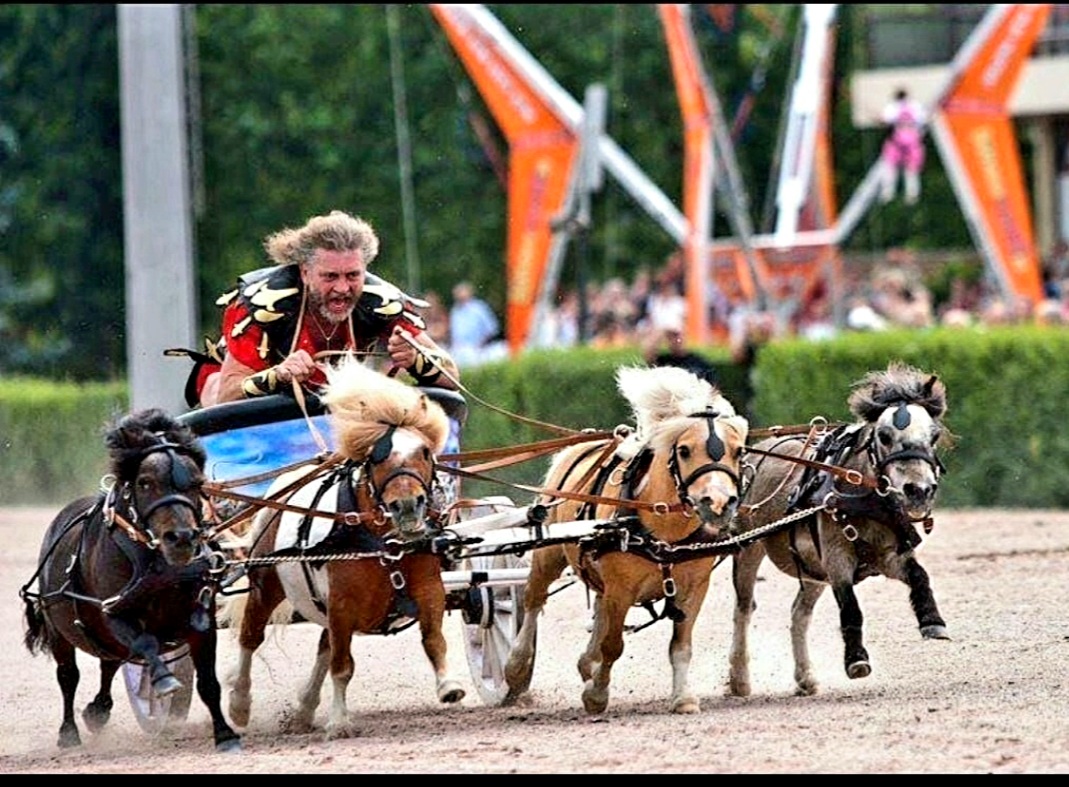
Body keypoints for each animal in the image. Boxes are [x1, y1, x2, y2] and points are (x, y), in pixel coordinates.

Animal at [20, 408, 242, 752]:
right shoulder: (114, 611)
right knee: (68, 675)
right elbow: (146, 642)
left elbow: (208, 682)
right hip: (59, 629)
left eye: (197, 482)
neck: (158, 566)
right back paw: (69, 732)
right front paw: (163, 680)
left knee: (109, 661)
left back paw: (97, 710)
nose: (182, 538)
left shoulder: (202, 617)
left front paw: (225, 733)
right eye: (145, 482)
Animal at [224, 357, 465, 739]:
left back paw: (304, 707)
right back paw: (240, 703)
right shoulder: (341, 602)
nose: (407, 505)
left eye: (425, 452)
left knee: (324, 645)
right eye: (376, 457)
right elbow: (342, 666)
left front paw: (449, 685)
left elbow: (433, 639)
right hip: (267, 585)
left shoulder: (428, 588)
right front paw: (339, 721)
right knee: (251, 637)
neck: (386, 544)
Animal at [504, 365, 750, 714]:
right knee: (534, 599)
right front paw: (597, 694)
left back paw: (586, 663)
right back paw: (516, 665)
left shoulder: (694, 588)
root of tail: (580, 446)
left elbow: (681, 646)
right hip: (548, 555)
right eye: (684, 450)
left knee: (597, 606)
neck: (664, 528)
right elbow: (613, 645)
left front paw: (683, 697)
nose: (718, 503)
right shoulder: (621, 589)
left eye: (739, 450)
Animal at [727, 360, 952, 698]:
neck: (862, 494)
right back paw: (740, 678)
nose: (919, 490)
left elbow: (919, 576)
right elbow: (851, 608)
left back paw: (805, 677)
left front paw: (931, 620)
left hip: (811, 570)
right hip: (749, 548)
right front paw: (856, 659)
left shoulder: (890, 556)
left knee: (799, 613)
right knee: (744, 608)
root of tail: (757, 449)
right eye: (884, 435)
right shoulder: (836, 559)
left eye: (934, 435)